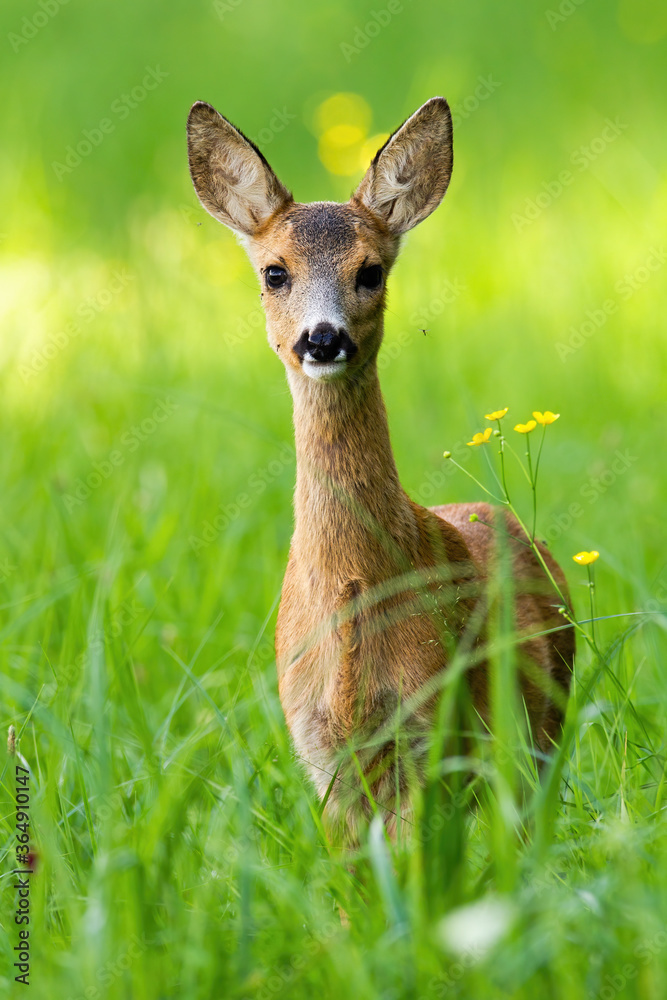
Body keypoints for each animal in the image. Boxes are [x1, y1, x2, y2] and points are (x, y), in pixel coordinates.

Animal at [187, 99, 576, 836]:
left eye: (370, 271)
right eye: (274, 271)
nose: (322, 338)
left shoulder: (431, 729)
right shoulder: (318, 753)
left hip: (538, 730)